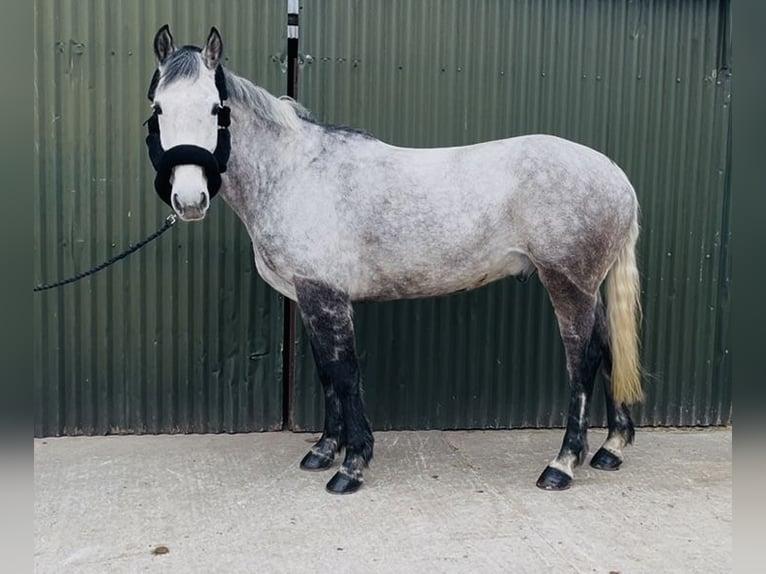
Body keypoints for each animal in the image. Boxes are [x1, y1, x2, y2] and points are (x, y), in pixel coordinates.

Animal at [145, 25, 643, 494]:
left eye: (216, 109)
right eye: (159, 109)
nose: (189, 199)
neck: (295, 173)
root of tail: (616, 177)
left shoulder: (327, 298)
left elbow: (345, 375)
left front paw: (351, 466)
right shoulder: (310, 298)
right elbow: (327, 373)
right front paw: (324, 451)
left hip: (567, 285)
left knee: (584, 360)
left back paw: (563, 464)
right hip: (587, 289)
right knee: (608, 348)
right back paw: (611, 449)